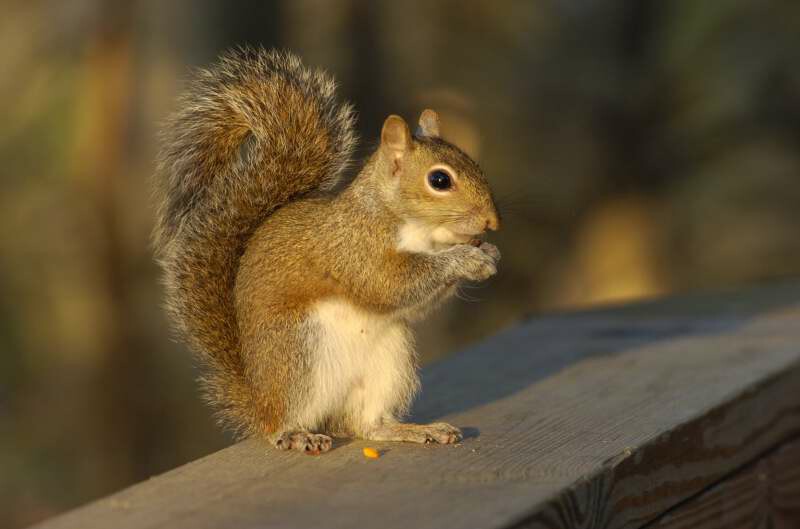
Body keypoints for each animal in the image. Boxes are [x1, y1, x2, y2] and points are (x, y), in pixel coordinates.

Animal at [152, 48, 496, 454]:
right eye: (439, 180)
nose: (492, 222)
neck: (417, 230)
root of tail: (259, 399)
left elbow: (414, 303)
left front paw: (487, 253)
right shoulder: (352, 248)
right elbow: (388, 284)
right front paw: (466, 259)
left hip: (389, 360)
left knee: (368, 425)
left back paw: (415, 430)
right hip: (298, 352)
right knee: (282, 422)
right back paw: (296, 434)